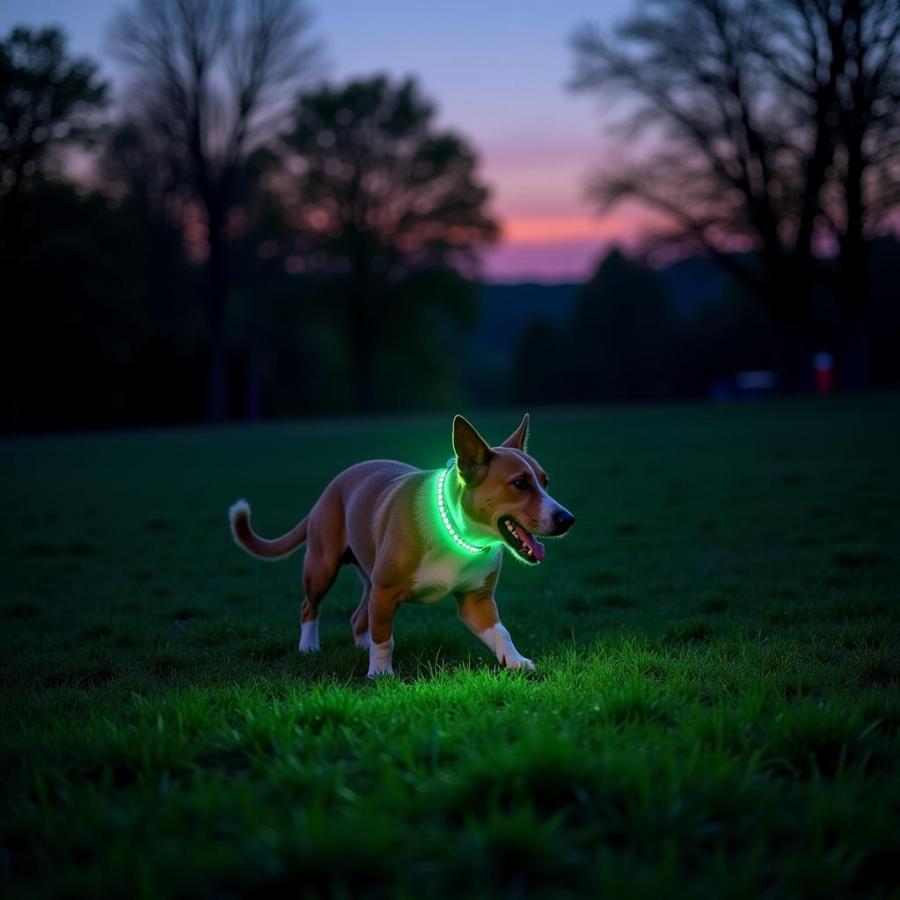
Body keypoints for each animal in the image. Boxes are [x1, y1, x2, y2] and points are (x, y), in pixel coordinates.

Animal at [229, 414, 572, 676]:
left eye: (546, 481)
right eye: (519, 484)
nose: (567, 519)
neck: (460, 534)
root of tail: (331, 487)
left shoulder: (476, 600)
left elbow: (501, 631)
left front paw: (516, 661)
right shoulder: (385, 590)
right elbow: (385, 639)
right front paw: (380, 674)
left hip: (367, 576)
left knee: (358, 617)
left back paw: (360, 645)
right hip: (322, 565)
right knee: (310, 606)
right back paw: (309, 647)